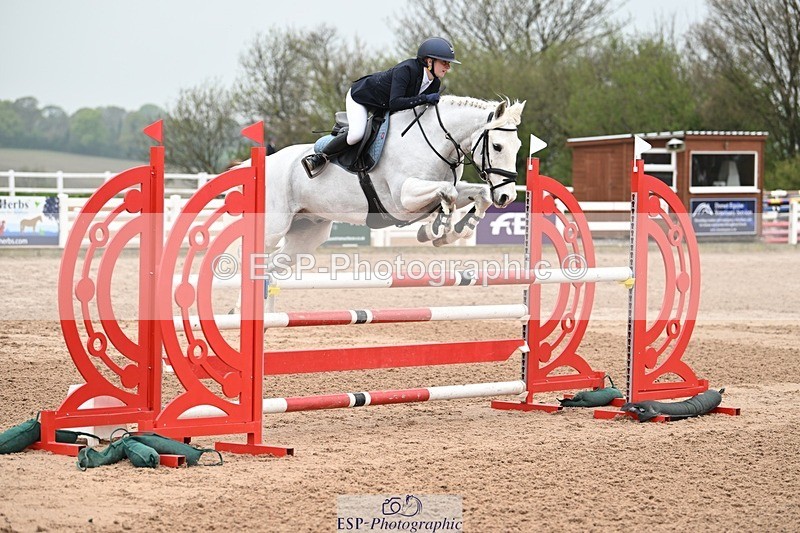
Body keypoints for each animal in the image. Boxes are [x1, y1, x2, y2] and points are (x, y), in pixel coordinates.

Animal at [241, 95, 525, 273]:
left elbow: (478, 194)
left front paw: (455, 232)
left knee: (272, 267)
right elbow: (449, 194)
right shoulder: (402, 199)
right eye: (497, 146)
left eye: (519, 146)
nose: (507, 197)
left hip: (308, 232)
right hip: (272, 228)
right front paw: (435, 229)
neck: (432, 142)